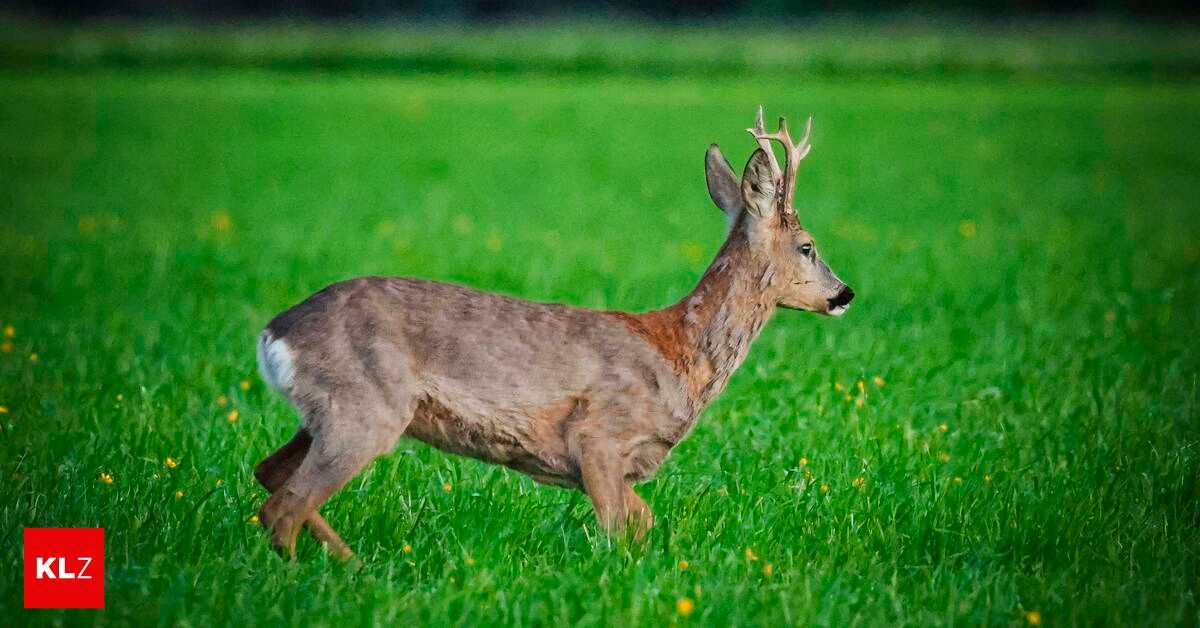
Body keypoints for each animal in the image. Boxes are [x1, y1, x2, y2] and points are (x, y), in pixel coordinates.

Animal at [253, 107, 854, 561]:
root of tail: (273, 334)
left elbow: (644, 523)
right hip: (364, 406)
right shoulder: (597, 436)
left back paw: (353, 565)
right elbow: (620, 530)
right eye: (808, 246)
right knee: (284, 506)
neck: (679, 354)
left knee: (270, 477)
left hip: (328, 412)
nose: (844, 294)